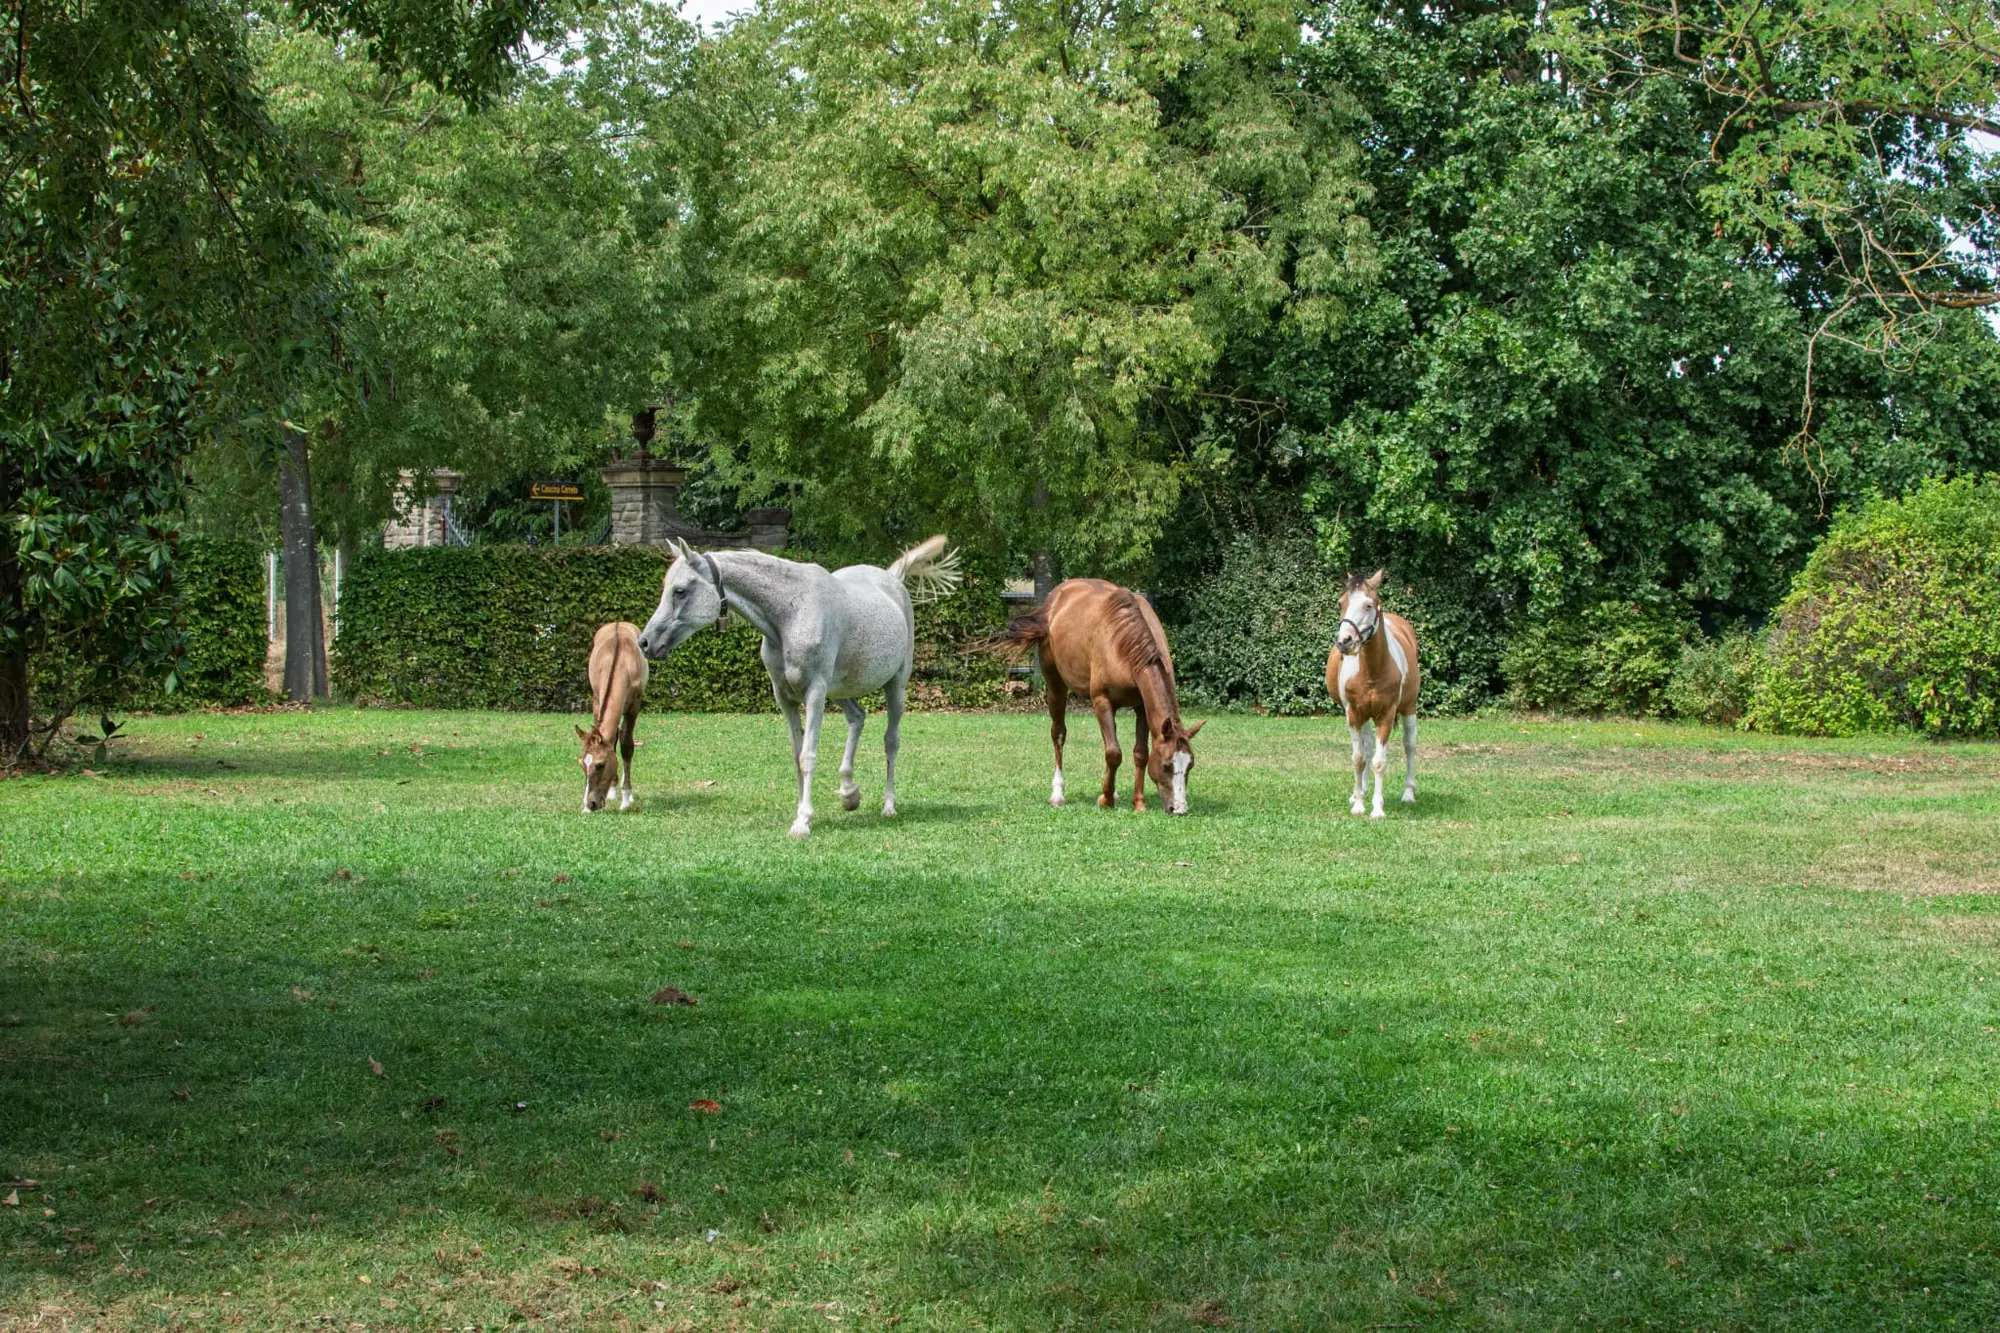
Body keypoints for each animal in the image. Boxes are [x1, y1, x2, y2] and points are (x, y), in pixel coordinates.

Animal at [576, 621, 648, 813]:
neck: (620, 663)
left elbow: (627, 745)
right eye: (582, 764)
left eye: (600, 765)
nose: (590, 804)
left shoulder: (634, 705)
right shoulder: (597, 700)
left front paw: (626, 798)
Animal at [636, 536, 959, 837]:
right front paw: (806, 812)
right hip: (839, 690)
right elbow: (795, 756)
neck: (791, 614)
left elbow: (808, 756)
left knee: (891, 741)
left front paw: (803, 822)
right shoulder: (785, 697)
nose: (645, 643)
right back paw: (849, 793)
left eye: (680, 591)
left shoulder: (814, 693)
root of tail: (893, 578)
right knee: (857, 718)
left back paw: (888, 805)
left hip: (895, 687)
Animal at [1003, 579, 1204, 815]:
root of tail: (1054, 601)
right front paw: (1105, 799)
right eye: (1166, 765)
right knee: (1059, 734)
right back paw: (1058, 794)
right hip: (1055, 685)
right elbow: (1114, 753)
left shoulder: (1141, 707)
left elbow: (1140, 754)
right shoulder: (1102, 701)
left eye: (1190, 765)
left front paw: (1138, 802)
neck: (1126, 644)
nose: (1179, 808)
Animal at [1324, 569, 1420, 818]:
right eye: (1341, 603)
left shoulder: (1385, 715)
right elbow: (1359, 758)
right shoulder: (1354, 715)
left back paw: (1408, 793)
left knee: (1409, 745)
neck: (1371, 670)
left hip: (1409, 708)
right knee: (1366, 747)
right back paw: (1360, 791)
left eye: (1368, 605)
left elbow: (1379, 762)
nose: (1344, 642)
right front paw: (1358, 804)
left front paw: (1377, 809)